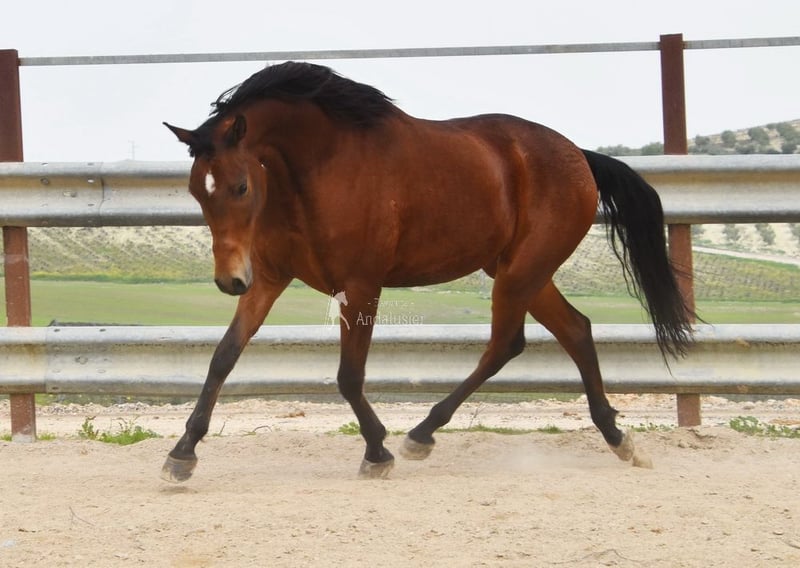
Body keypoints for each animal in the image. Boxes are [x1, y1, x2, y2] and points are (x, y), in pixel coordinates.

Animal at [162, 61, 693, 482]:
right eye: (195, 190)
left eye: (240, 186)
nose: (228, 281)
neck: (323, 168)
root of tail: (580, 156)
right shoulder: (270, 280)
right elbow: (223, 357)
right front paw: (182, 454)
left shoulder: (360, 286)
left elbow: (349, 376)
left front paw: (377, 452)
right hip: (523, 272)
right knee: (575, 330)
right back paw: (619, 439)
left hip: (522, 271)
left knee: (508, 343)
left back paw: (420, 435)